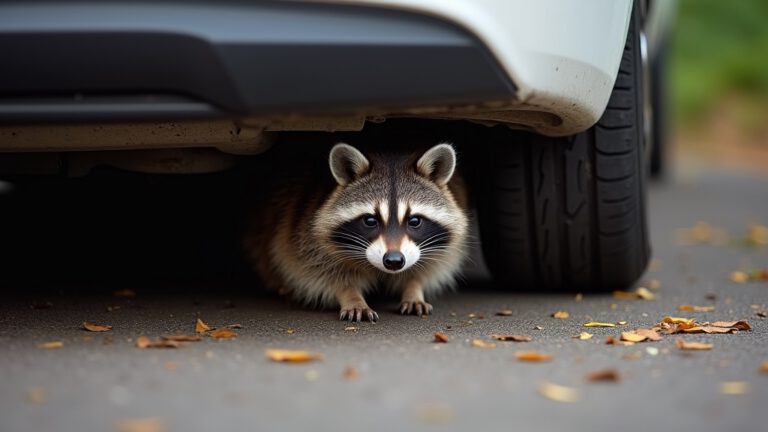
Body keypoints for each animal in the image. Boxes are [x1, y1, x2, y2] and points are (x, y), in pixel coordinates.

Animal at [243, 142, 469, 322]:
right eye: (370, 221)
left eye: (414, 221)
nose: (394, 261)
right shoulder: (305, 231)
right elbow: (321, 270)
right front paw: (351, 295)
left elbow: (428, 267)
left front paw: (414, 289)